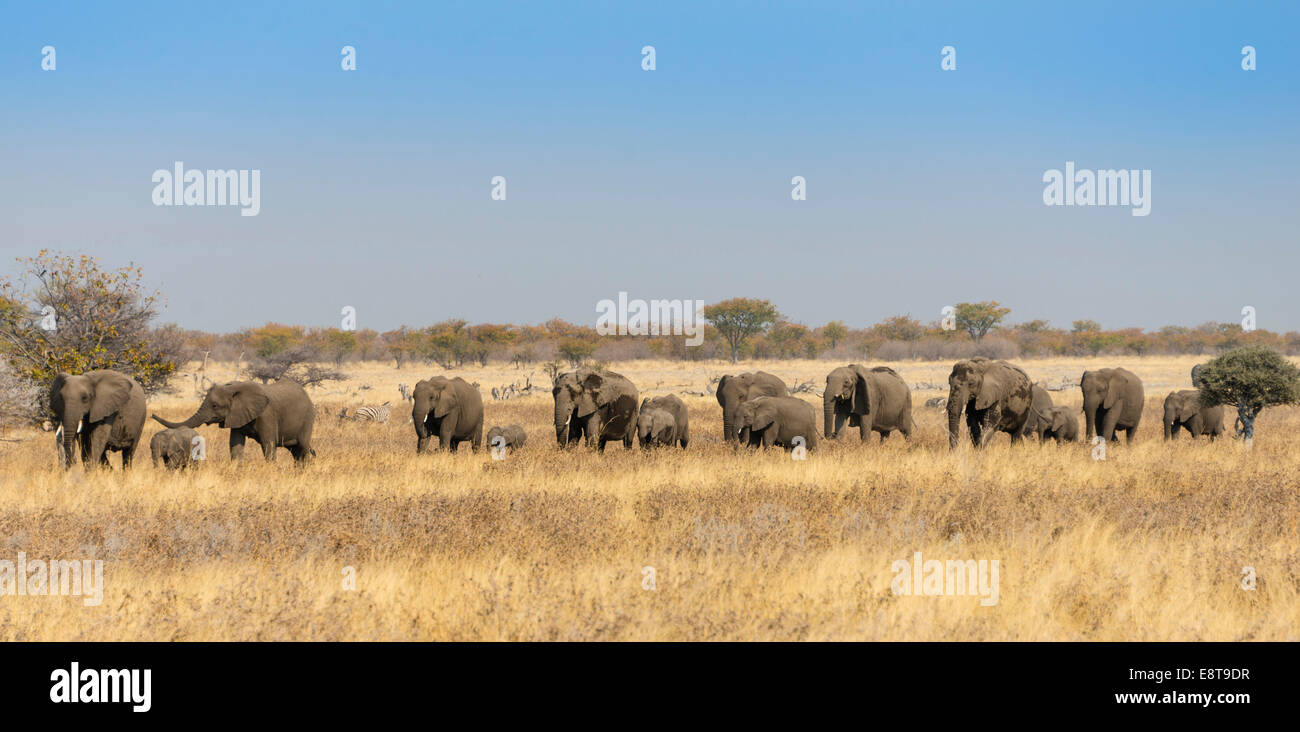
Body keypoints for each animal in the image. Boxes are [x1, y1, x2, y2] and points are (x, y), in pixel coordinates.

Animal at [150, 382, 313, 460]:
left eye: (215, 406)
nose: (151, 414)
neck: (234, 387)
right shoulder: (237, 415)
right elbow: (235, 444)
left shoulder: (267, 415)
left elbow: (268, 444)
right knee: (295, 451)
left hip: (308, 418)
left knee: (303, 448)